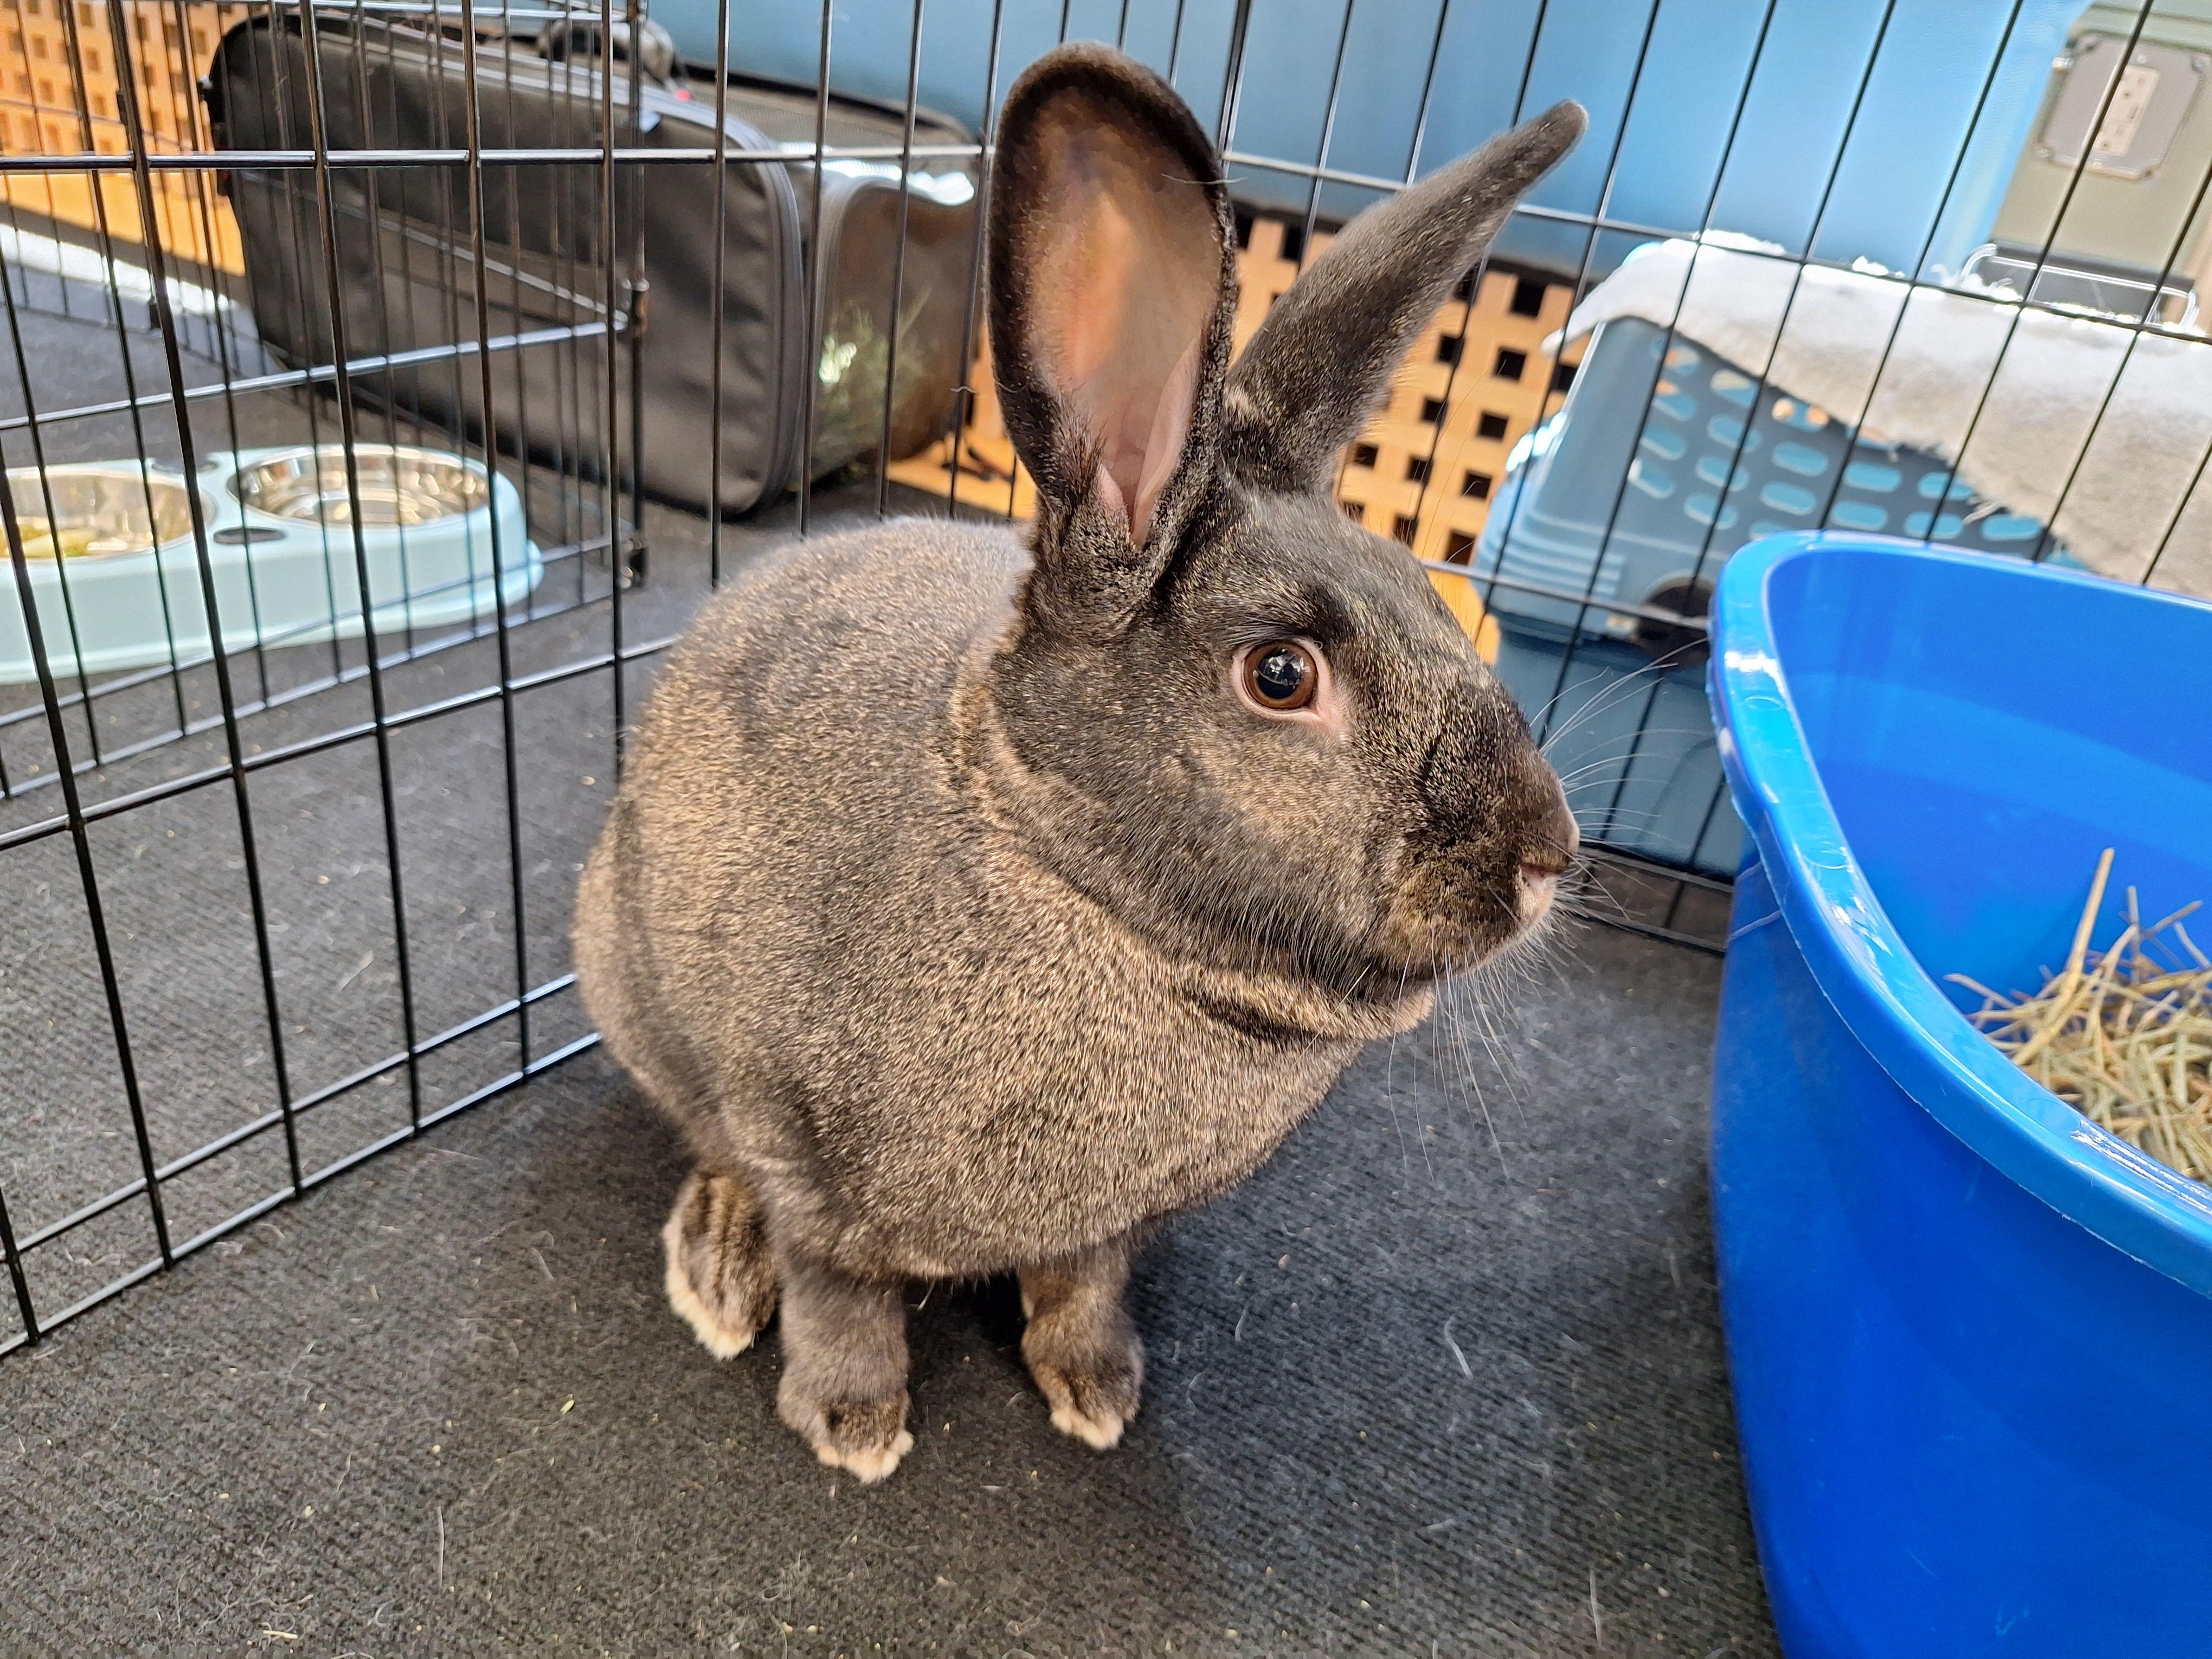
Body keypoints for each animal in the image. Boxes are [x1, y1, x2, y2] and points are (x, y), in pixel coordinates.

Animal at [574, 42, 1586, 1483]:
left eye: (1433, 601)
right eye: (1282, 675)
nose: (1546, 857)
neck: (1085, 889)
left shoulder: (1110, 1228)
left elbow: (1082, 1282)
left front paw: (1098, 1390)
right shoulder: (805, 1158)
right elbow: (838, 1293)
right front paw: (853, 1426)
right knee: (709, 1149)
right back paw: (718, 1265)